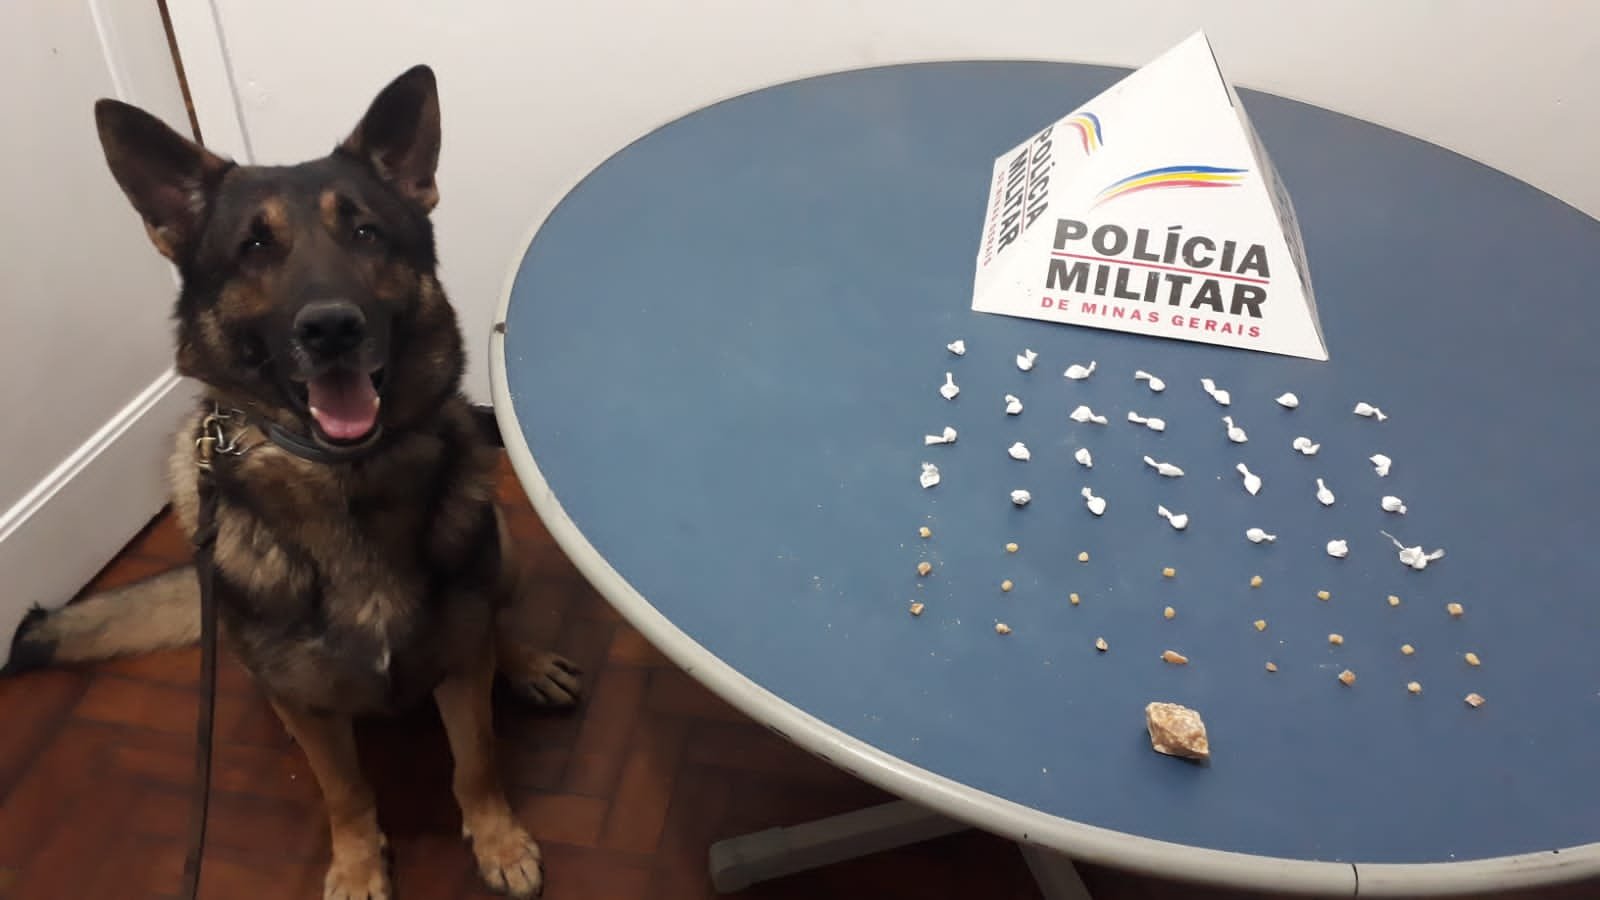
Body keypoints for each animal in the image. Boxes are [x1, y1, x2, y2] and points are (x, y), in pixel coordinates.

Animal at [1, 65, 580, 899]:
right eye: (253, 248)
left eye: (366, 233)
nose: (331, 327)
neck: (345, 485)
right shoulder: (307, 706)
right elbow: (346, 790)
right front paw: (357, 863)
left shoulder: (460, 672)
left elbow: (475, 763)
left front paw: (498, 842)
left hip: (498, 548)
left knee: (494, 627)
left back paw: (527, 662)